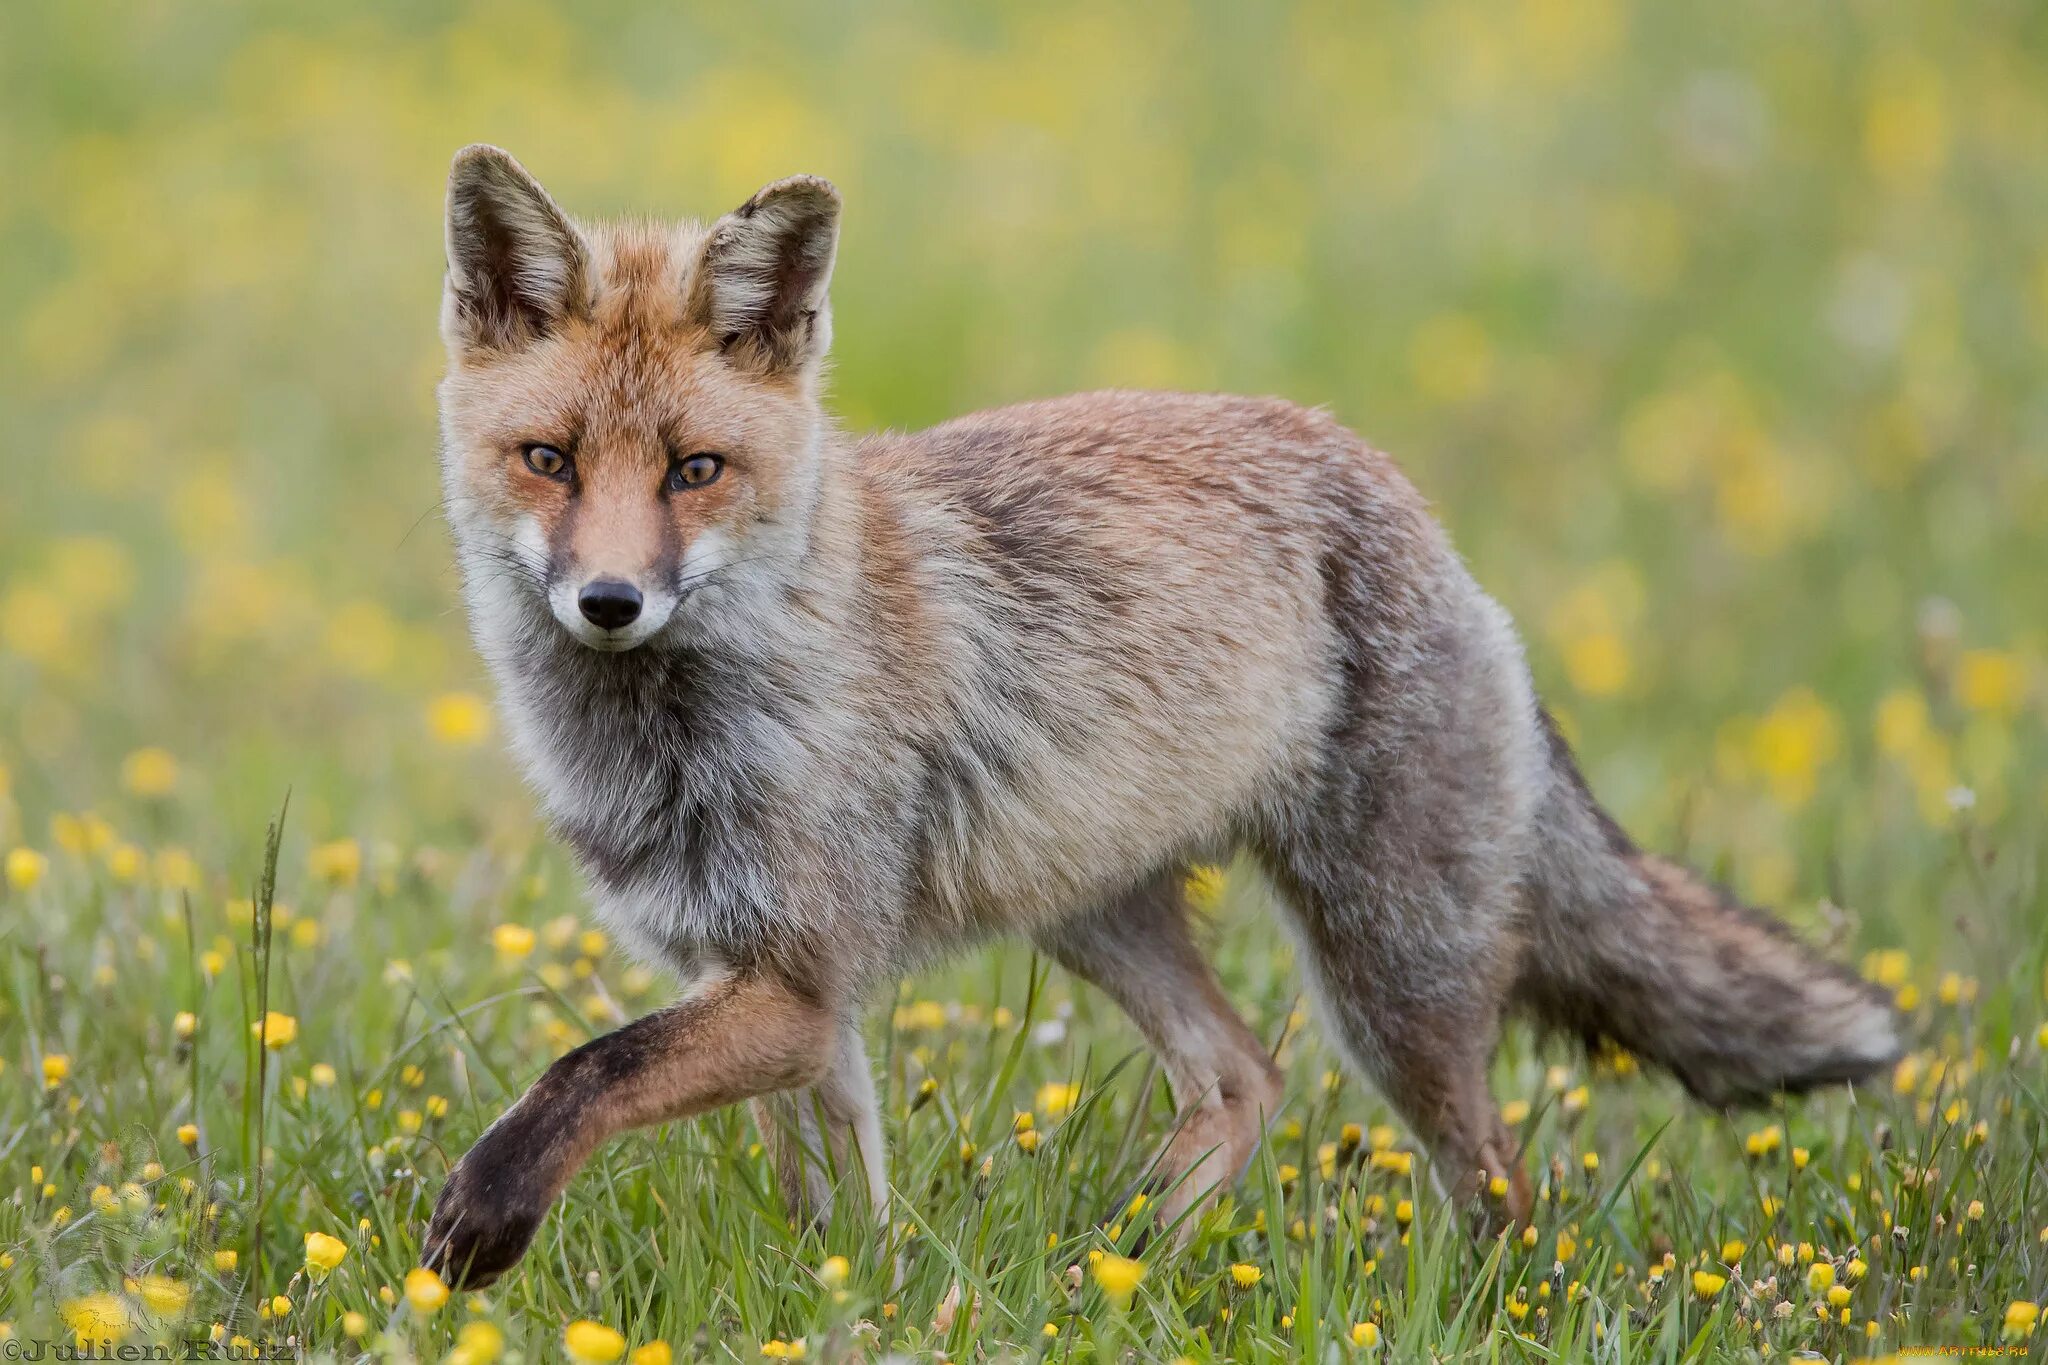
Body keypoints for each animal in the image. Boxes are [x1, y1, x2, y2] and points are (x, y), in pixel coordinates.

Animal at [419, 149, 1900, 1293]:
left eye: (694, 471)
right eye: (548, 461)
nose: (610, 601)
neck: (684, 728)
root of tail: (1408, 504)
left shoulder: (797, 978)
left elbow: (584, 1068)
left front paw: (486, 1217)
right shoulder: (772, 986)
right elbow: (831, 1207)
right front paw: (857, 1303)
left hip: (1390, 980)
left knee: (1493, 1178)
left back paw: (1469, 1305)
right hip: (1099, 914)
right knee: (1241, 1081)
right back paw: (1116, 1271)